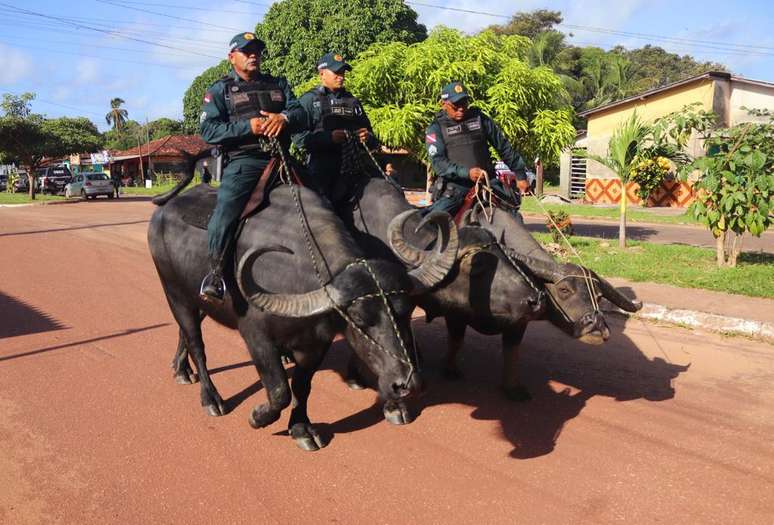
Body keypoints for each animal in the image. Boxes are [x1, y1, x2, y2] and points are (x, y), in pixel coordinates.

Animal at [149, 182, 458, 448]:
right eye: (359, 320)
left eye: (407, 311)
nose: (408, 385)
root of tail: (161, 213)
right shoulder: (256, 337)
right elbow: (279, 391)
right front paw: (258, 416)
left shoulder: (315, 344)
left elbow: (301, 386)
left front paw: (301, 429)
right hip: (174, 292)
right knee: (196, 342)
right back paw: (211, 398)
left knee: (185, 333)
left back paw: (181, 369)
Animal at [346, 178, 644, 400]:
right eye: (565, 291)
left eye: (599, 296)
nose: (598, 328)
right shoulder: (456, 314)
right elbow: (456, 340)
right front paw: (450, 369)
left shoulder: (520, 321)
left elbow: (512, 353)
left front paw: (513, 389)